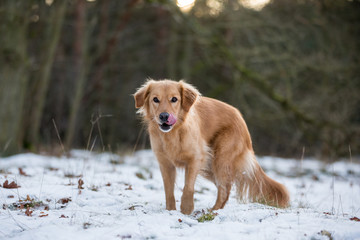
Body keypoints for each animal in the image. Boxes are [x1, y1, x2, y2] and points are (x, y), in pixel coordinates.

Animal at [134, 79, 290, 215]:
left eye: (174, 99)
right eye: (155, 99)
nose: (164, 116)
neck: (174, 133)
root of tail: (240, 117)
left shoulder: (195, 159)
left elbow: (188, 187)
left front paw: (186, 208)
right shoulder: (165, 164)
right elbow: (169, 191)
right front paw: (170, 211)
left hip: (220, 160)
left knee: (224, 190)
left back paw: (213, 211)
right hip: (210, 168)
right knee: (226, 188)